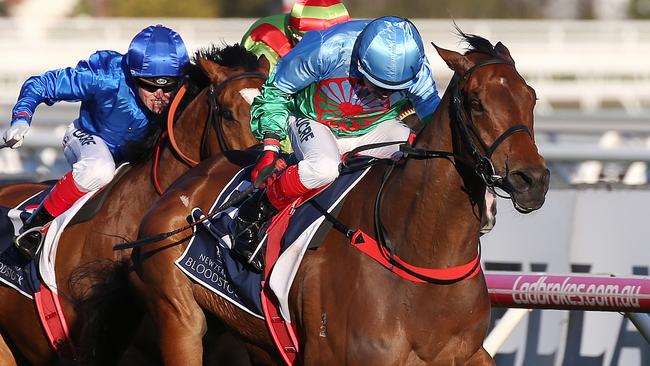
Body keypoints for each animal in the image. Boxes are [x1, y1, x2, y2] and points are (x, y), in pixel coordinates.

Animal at [132, 32, 548, 366]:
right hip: (180, 320)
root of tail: (181, 188)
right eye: (476, 102)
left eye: (531, 97)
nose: (533, 180)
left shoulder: (467, 354)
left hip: (256, 342)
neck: (418, 255)